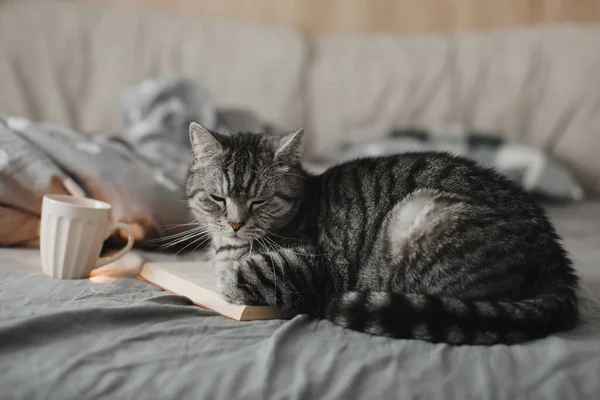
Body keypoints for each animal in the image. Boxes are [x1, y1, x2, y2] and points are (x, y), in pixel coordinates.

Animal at [185, 121, 580, 344]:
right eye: (218, 198)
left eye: (260, 201)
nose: (235, 223)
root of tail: (555, 254)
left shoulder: (311, 264)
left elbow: (236, 276)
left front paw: (227, 273)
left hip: (421, 218)